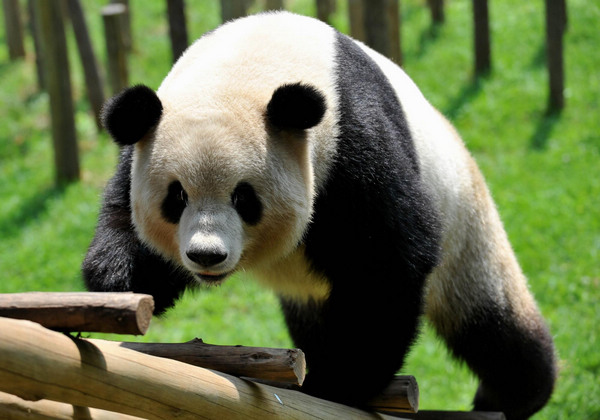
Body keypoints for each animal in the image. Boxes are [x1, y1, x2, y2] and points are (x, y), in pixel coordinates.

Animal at [82, 11, 556, 418]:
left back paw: (516, 392)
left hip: (463, 218)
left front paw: (342, 382)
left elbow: (387, 263)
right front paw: (121, 280)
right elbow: (122, 218)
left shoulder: (351, 144)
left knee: (490, 319)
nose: (206, 256)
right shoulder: (144, 140)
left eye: (244, 198)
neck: (246, 63)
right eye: (176, 197)